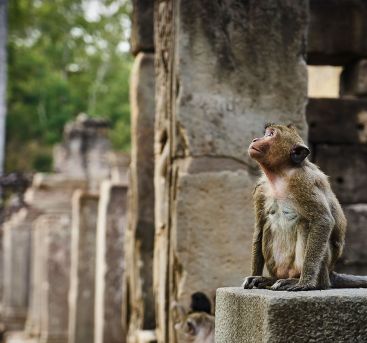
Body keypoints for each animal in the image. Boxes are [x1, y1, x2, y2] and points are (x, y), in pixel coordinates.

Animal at [243, 123, 367, 290]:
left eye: (270, 134)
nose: (255, 139)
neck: (281, 175)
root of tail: (330, 272)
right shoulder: (261, 189)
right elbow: (260, 227)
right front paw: (254, 275)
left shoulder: (303, 181)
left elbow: (323, 221)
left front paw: (305, 283)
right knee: (268, 226)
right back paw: (271, 279)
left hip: (319, 267)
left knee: (305, 224)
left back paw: (305, 281)